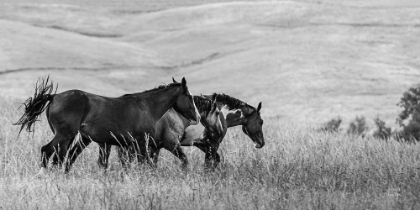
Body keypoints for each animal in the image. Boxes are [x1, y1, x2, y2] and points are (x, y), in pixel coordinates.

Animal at [13, 76, 201, 173]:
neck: (146, 106)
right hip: (65, 135)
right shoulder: (141, 141)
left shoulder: (128, 144)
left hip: (70, 137)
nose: (198, 117)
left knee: (60, 156)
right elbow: (144, 162)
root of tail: (54, 96)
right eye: (190, 97)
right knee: (48, 151)